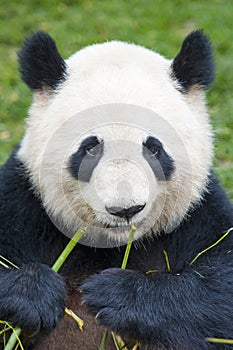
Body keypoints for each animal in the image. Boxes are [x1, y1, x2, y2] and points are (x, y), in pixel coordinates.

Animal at [0, 30, 233, 350]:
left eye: (153, 148)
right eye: (90, 148)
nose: (126, 209)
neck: (114, 245)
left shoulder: (199, 214)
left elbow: (218, 291)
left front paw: (113, 293)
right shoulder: (22, 203)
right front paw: (35, 293)